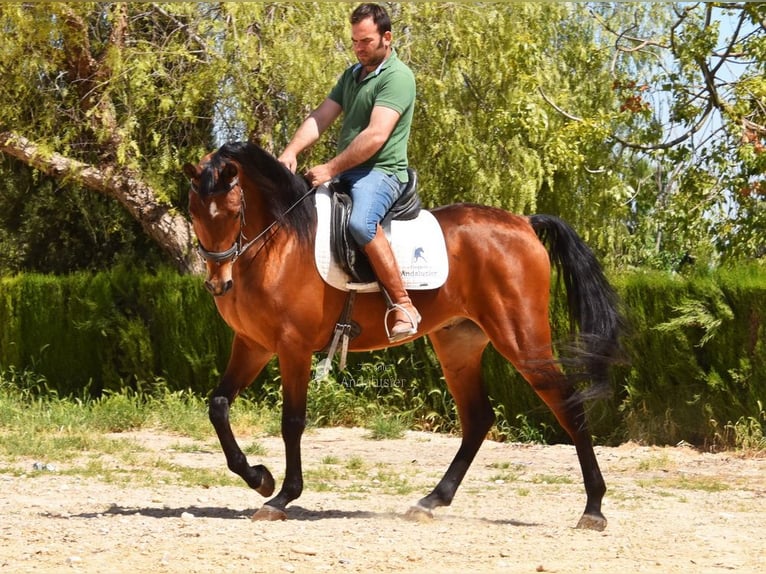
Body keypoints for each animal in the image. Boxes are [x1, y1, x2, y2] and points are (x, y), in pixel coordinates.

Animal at [183, 141, 622, 531]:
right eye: (193, 211)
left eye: (234, 211)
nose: (218, 283)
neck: (282, 241)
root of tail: (524, 223)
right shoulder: (254, 345)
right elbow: (218, 406)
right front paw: (259, 478)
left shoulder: (294, 347)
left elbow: (292, 421)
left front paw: (281, 496)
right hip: (458, 344)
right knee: (478, 418)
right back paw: (431, 500)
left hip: (522, 340)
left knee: (567, 405)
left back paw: (594, 509)